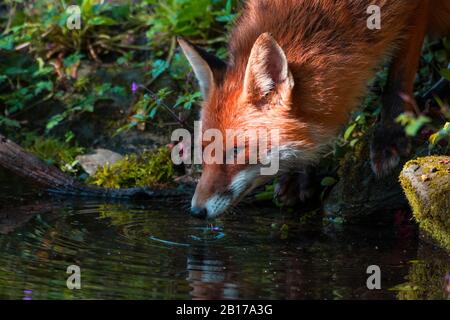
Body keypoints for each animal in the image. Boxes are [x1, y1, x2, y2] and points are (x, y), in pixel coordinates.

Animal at [178, 0, 450, 219]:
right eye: (203, 149)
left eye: (235, 151)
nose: (196, 211)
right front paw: (298, 176)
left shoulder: (412, 8)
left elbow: (399, 78)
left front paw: (391, 134)